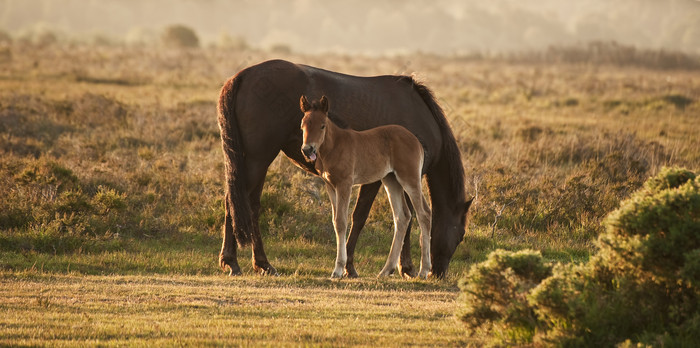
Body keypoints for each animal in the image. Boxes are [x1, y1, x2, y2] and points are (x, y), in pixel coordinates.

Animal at [300, 95, 432, 280]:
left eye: (322, 125)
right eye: (303, 125)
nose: (307, 149)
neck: (334, 146)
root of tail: (416, 140)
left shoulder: (345, 184)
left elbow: (341, 222)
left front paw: (338, 269)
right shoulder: (330, 186)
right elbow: (334, 221)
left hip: (410, 179)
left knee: (423, 214)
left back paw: (424, 270)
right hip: (391, 180)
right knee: (402, 217)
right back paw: (386, 270)